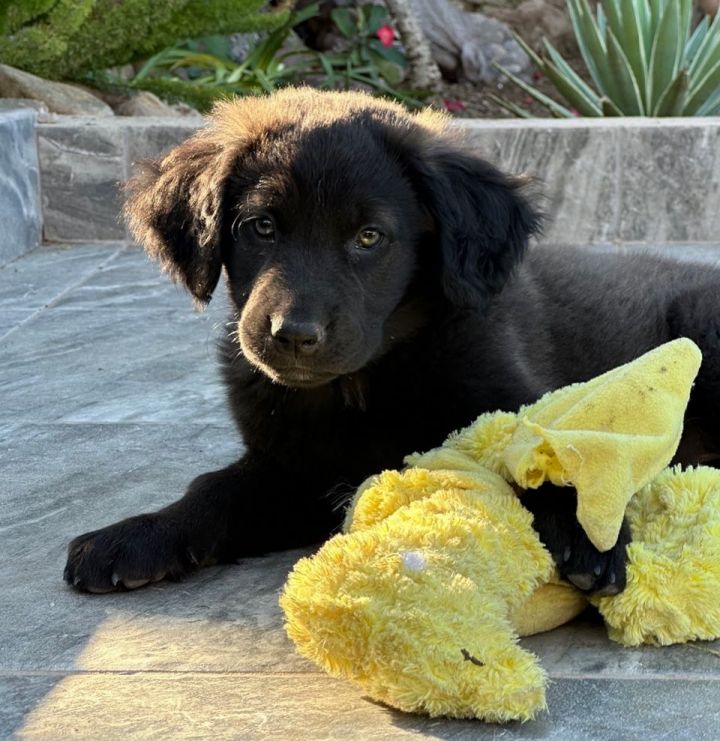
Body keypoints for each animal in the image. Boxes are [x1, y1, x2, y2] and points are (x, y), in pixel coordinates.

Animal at [64, 88, 716, 596]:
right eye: (261, 226)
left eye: (369, 237)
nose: (292, 335)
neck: (358, 388)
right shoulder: (291, 471)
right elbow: (213, 489)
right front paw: (138, 534)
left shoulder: (509, 396)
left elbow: (546, 446)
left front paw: (586, 531)